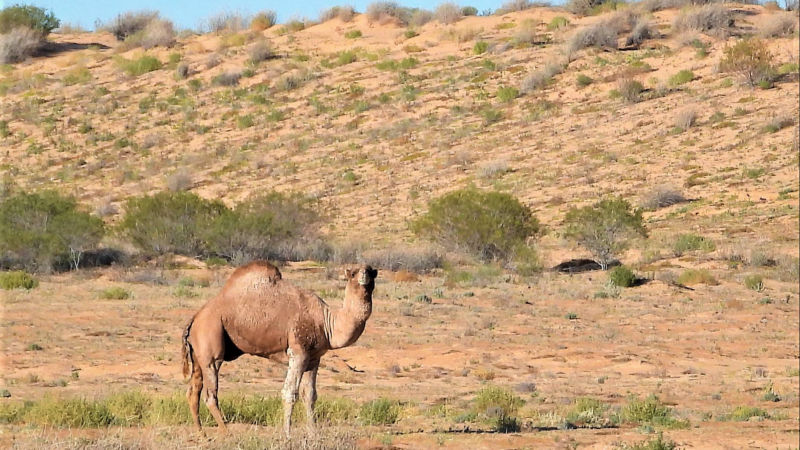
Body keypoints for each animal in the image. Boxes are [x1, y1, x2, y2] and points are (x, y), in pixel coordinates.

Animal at [181, 260, 378, 436]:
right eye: (353, 273)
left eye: (371, 271)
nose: (364, 276)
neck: (326, 322)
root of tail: (195, 318)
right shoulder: (298, 352)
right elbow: (290, 393)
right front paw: (287, 434)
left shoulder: (314, 358)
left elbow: (310, 395)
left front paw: (314, 433)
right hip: (211, 340)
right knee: (210, 394)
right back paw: (227, 433)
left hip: (198, 354)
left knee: (193, 391)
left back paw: (202, 434)